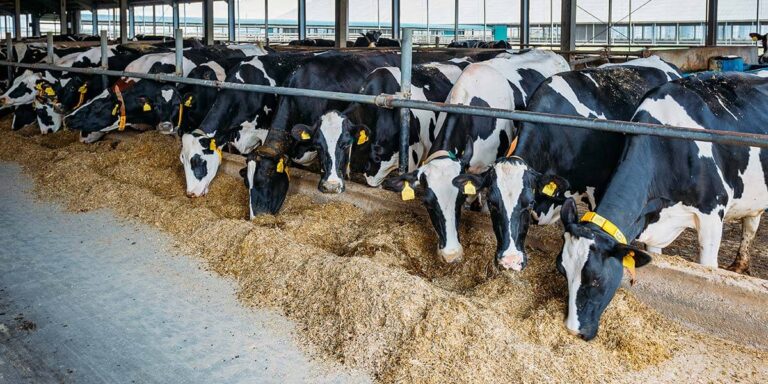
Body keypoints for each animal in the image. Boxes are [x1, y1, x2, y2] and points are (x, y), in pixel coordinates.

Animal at [560, 71, 768, 340]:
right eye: (562, 270)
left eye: (595, 279)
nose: (573, 330)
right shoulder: (654, 223)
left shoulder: (712, 213)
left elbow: (707, 267)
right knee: (751, 224)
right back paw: (739, 266)